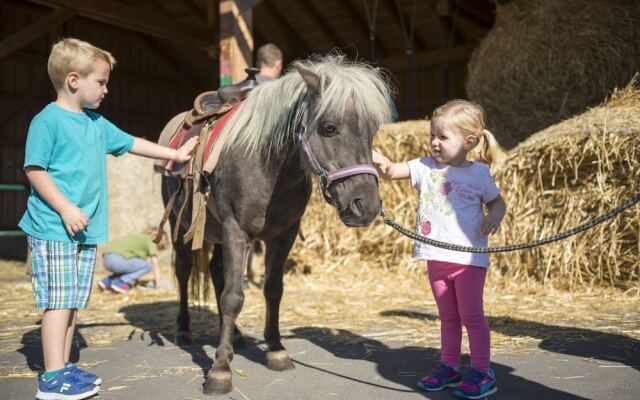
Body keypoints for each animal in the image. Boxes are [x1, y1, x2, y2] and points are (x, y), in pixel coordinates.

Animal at [159, 54, 390, 394]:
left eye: (372, 130)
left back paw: (236, 335)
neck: (264, 166)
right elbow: (233, 297)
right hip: (180, 225)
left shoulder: (283, 236)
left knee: (216, 272)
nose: (367, 206)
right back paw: (183, 331)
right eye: (329, 127)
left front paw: (276, 350)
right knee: (185, 272)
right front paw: (220, 369)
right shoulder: (235, 231)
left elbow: (272, 289)